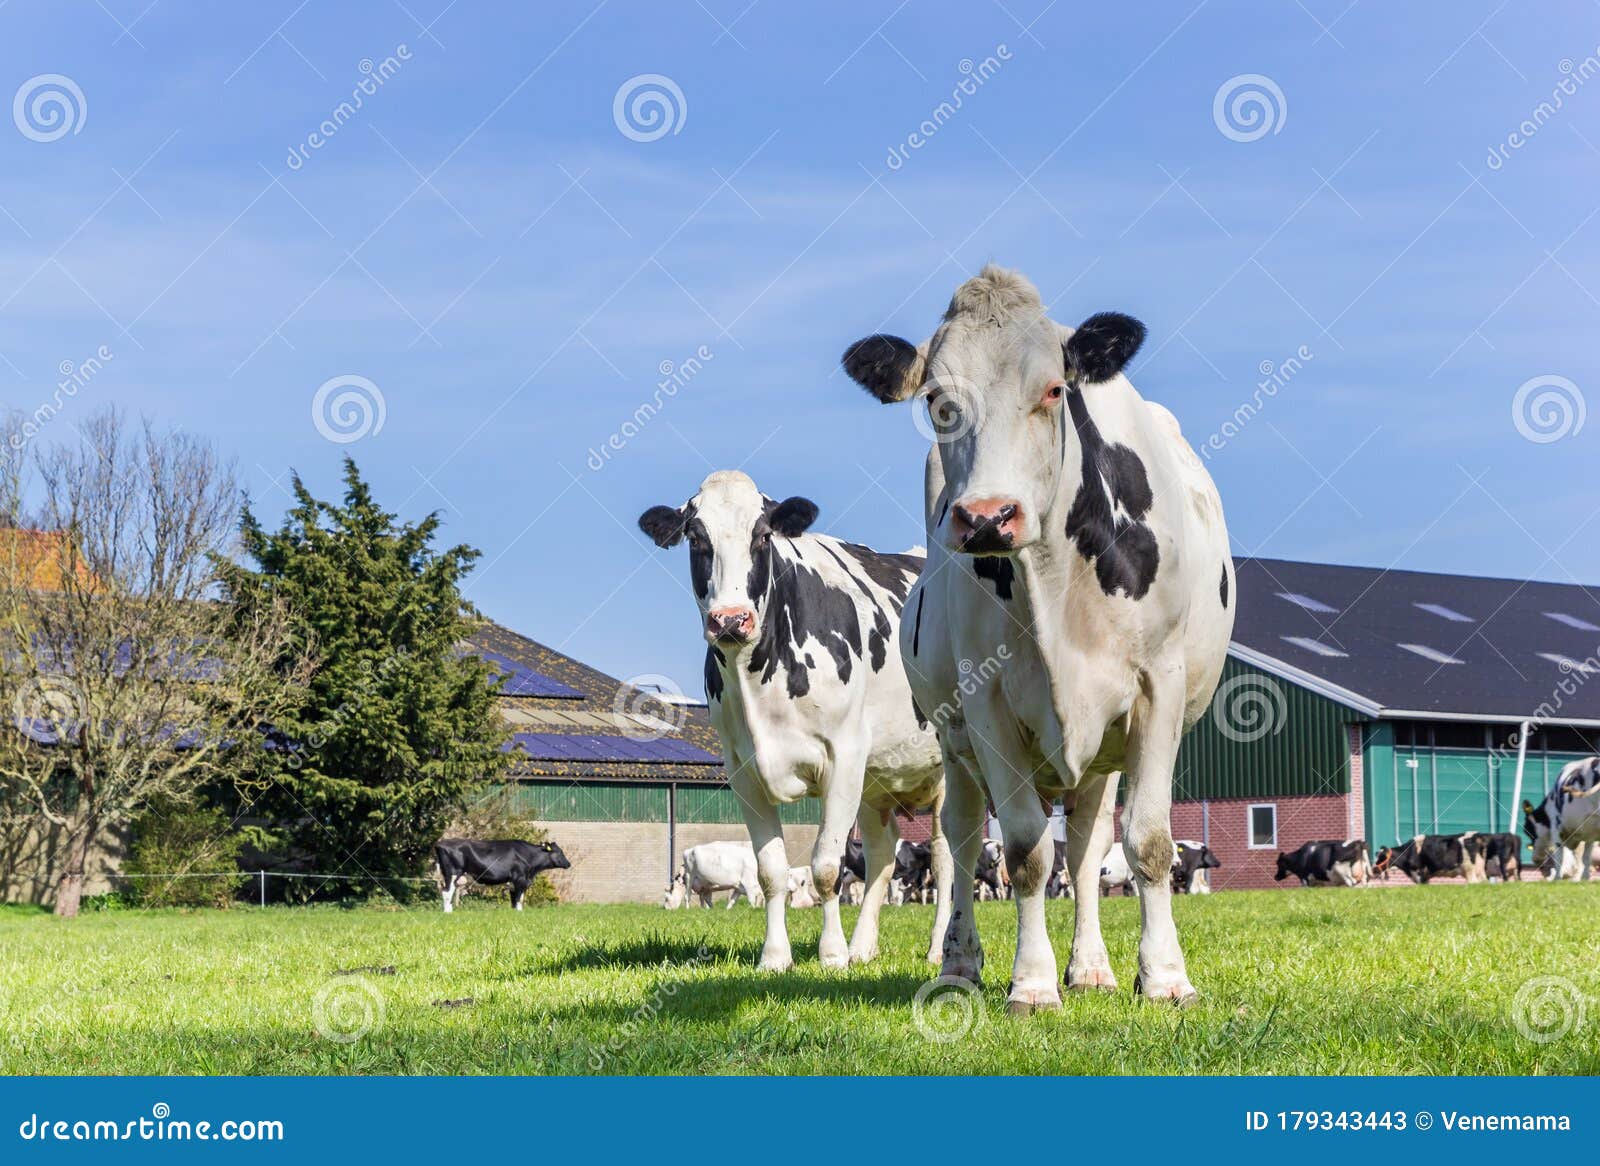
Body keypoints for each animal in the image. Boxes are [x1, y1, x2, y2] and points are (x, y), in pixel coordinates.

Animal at [432, 838, 569, 908]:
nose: (568, 864)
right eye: (560, 852)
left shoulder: (513, 884)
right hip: (452, 873)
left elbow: (514, 902)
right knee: (447, 893)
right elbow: (519, 900)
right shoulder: (520, 880)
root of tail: (440, 843)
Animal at [643, 467, 953, 966]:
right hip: (877, 780)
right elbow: (771, 871)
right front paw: (776, 956)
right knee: (883, 854)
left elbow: (826, 866)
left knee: (946, 857)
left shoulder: (844, 755)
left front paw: (831, 954)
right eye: (695, 537)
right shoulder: (743, 770)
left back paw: (938, 949)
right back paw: (863, 948)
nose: (731, 620)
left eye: (763, 535)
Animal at [838, 265, 1235, 1010]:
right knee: (964, 844)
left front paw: (1165, 977)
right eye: (937, 400)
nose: (987, 517)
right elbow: (1023, 850)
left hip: (1104, 753)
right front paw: (1030, 982)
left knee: (1085, 848)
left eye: (1054, 389)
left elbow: (1148, 842)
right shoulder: (986, 701)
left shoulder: (1158, 688)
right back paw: (960, 962)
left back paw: (1093, 966)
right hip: (955, 743)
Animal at [1523, 754, 1600, 882]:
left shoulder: (1556, 829)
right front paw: (1584, 878)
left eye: (1527, 830)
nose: (1536, 860)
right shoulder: (1590, 833)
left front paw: (1558, 879)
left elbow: (1560, 857)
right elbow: (1586, 858)